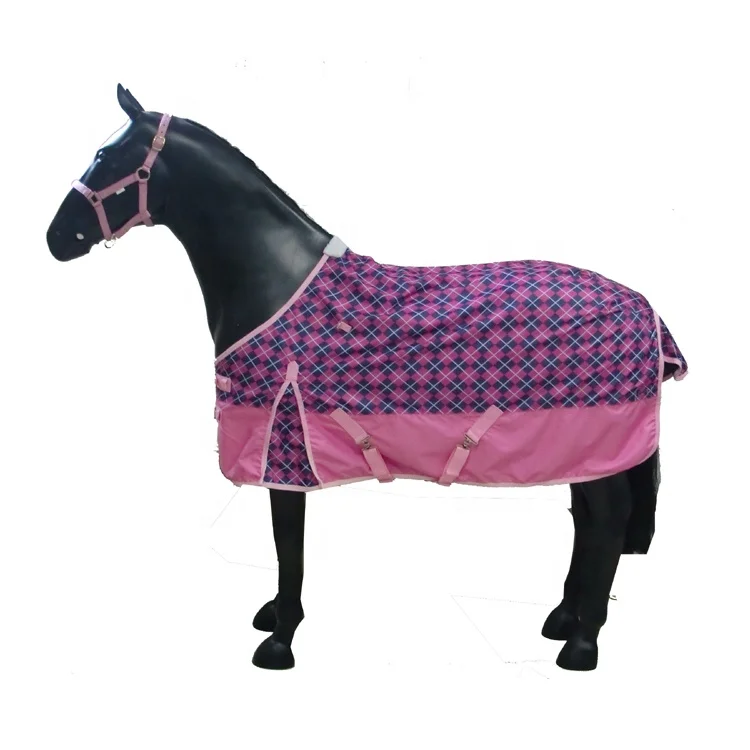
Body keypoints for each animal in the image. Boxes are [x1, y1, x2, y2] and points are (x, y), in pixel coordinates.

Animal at [46, 84, 687, 673]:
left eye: (107, 156)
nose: (54, 238)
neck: (277, 280)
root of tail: (645, 308)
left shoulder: (284, 446)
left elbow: (288, 545)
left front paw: (280, 638)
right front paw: (276, 618)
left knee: (606, 524)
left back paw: (582, 645)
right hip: (584, 449)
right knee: (589, 522)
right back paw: (564, 619)